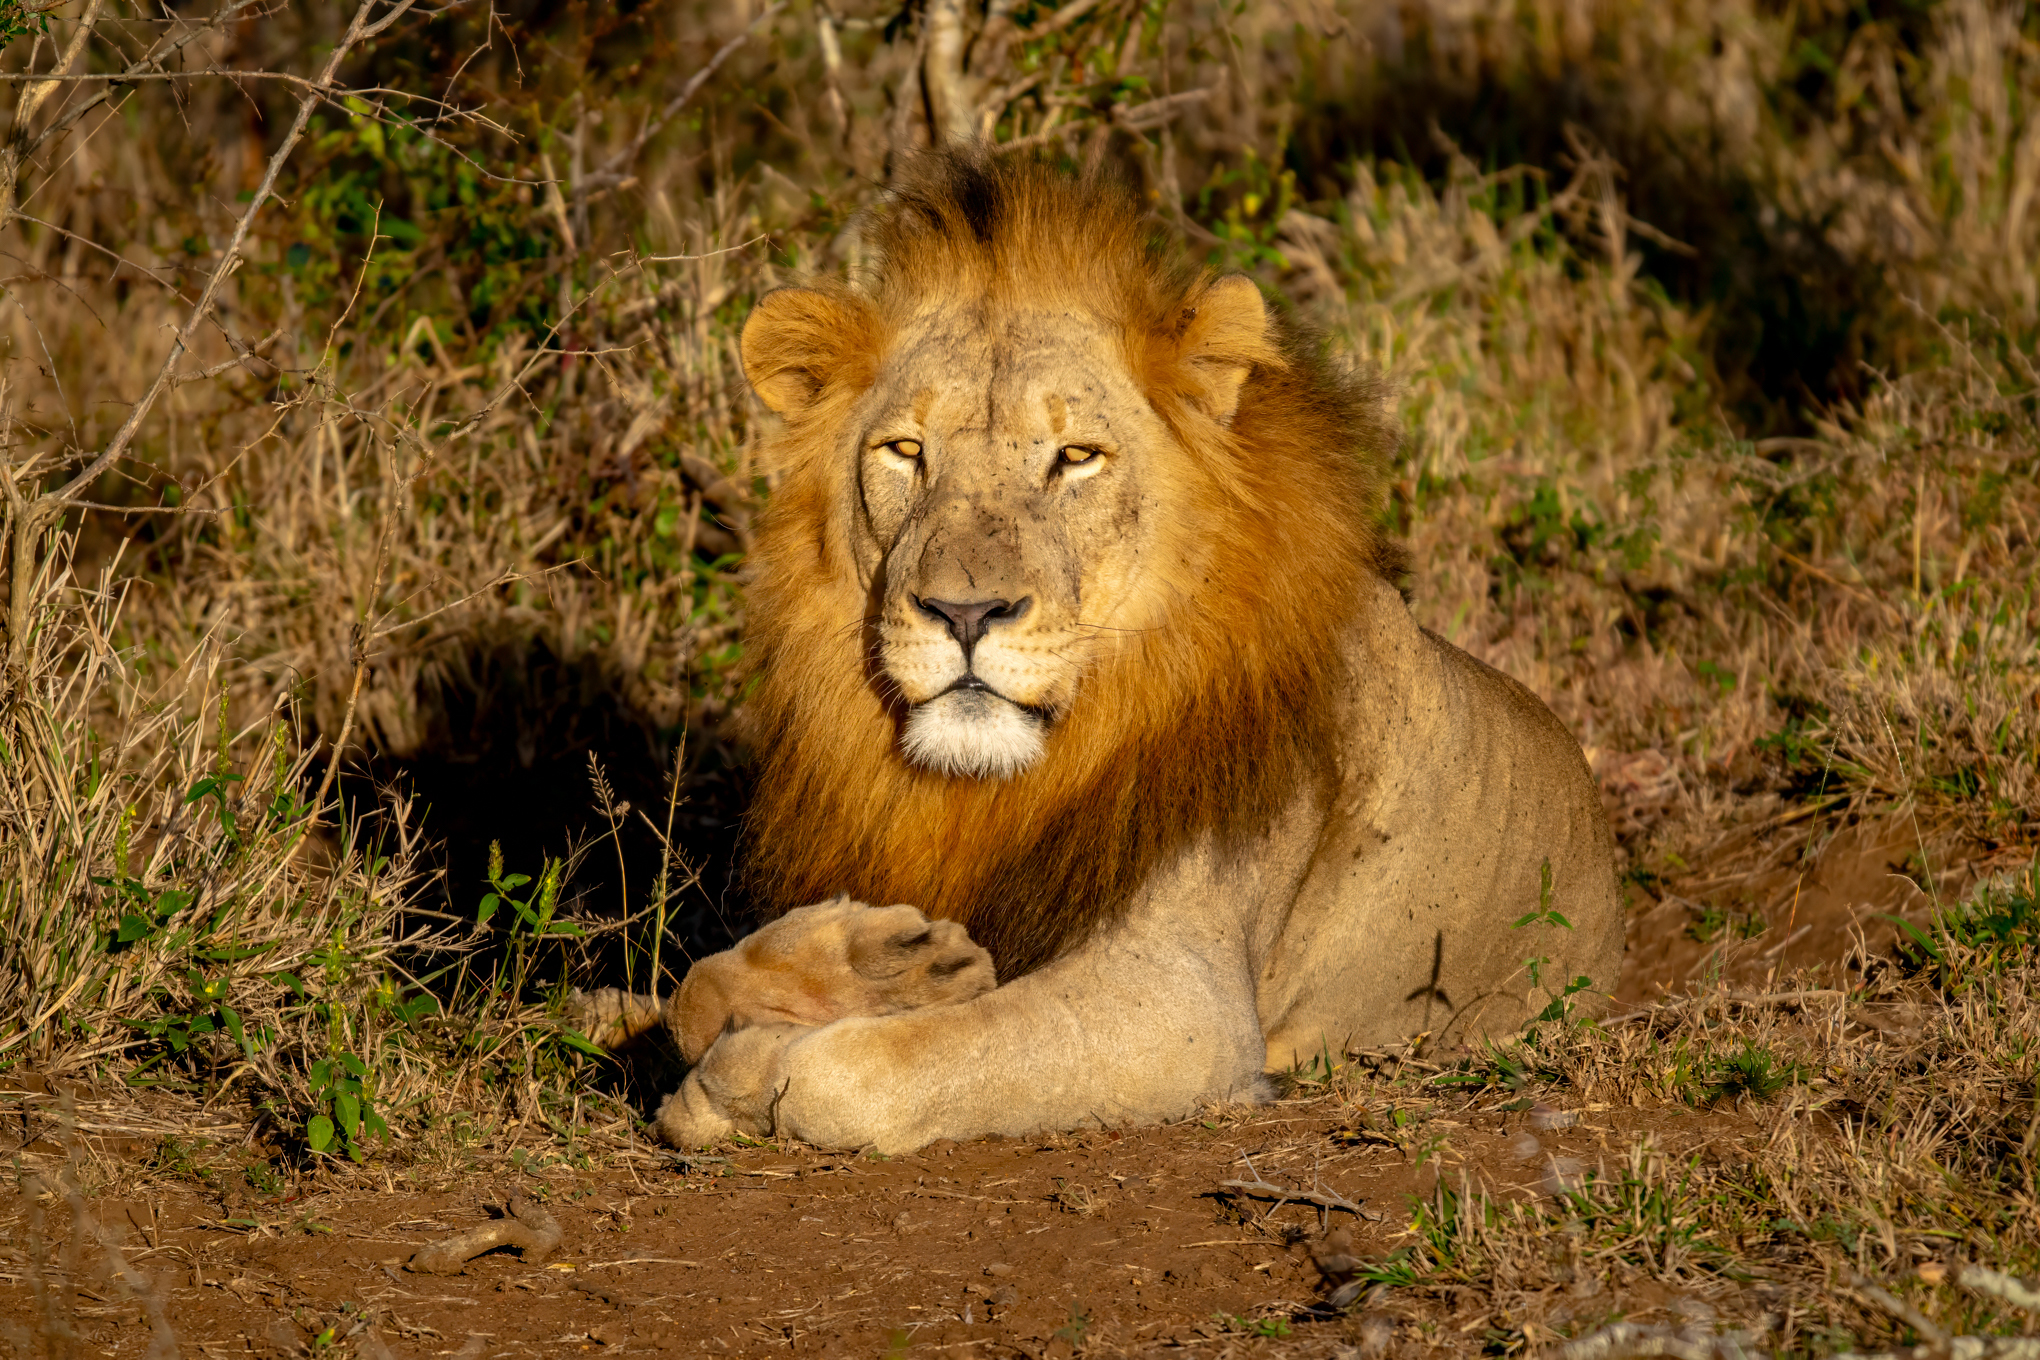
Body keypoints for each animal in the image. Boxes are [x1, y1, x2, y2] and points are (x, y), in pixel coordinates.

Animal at [579, 148, 1623, 1158]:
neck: (999, 787)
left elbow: (875, 1066)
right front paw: (885, 969)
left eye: (1076, 456)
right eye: (906, 451)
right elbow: (696, 989)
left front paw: (748, 1071)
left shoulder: (1182, 1003)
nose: (965, 611)